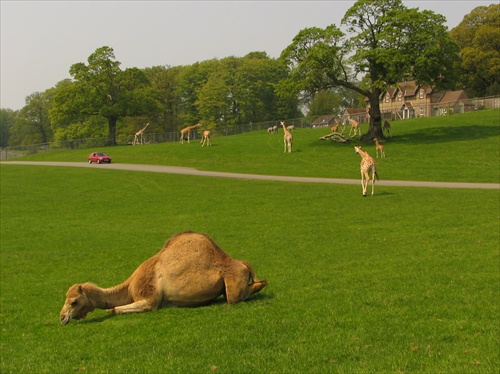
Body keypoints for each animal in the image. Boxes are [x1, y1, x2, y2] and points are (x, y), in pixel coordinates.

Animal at [60, 231, 268, 324]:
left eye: (74, 302)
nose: (62, 317)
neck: (129, 286)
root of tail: (241, 263)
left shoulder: (150, 299)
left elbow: (115, 310)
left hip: (233, 287)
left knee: (240, 294)